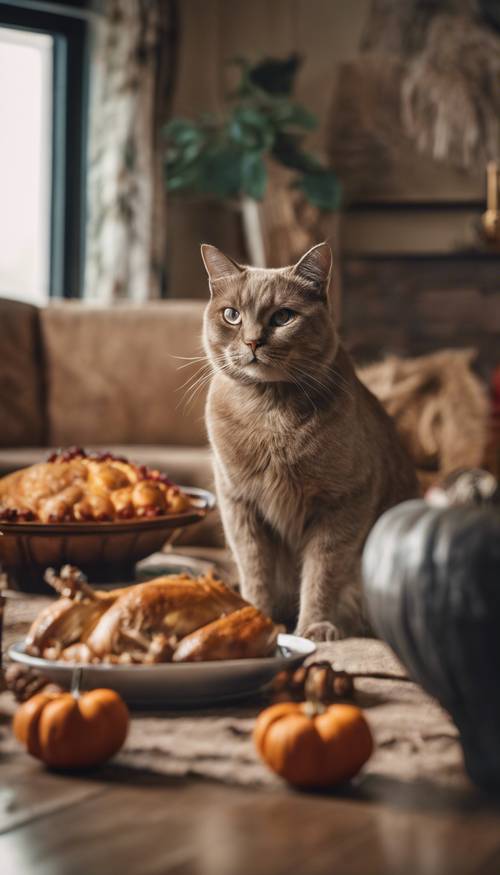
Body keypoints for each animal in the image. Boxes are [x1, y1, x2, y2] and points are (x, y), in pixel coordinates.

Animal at [199, 243, 418, 640]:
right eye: (232, 315)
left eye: (283, 317)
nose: (252, 340)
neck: (270, 415)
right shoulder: (239, 504)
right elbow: (255, 569)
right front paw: (253, 617)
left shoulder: (344, 503)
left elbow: (322, 572)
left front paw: (314, 627)